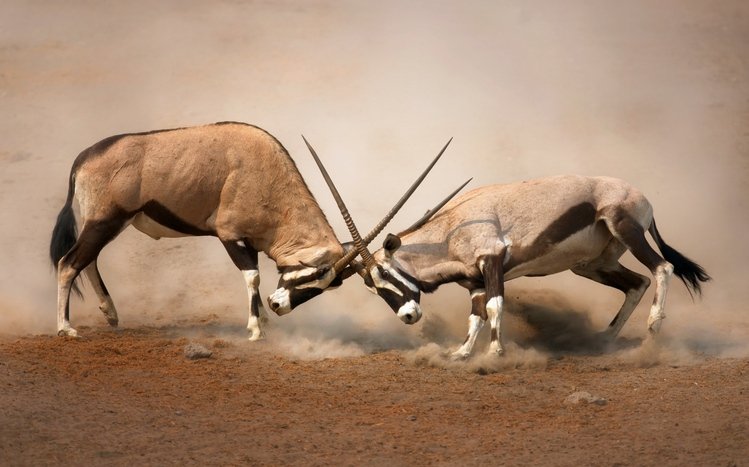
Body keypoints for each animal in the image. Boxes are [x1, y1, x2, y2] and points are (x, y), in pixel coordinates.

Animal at [50, 122, 447, 339]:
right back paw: (66, 328)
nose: (279, 305)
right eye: (314, 273)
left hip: (110, 224)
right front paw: (257, 328)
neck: (265, 174)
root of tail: (83, 159)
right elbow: (252, 276)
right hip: (105, 221)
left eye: (326, 286)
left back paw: (110, 313)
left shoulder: (252, 241)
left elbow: (254, 276)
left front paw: (263, 321)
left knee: (88, 261)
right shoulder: (230, 236)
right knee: (69, 264)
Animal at [309, 165, 711, 358]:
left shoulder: (492, 263)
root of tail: (640, 196)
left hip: (625, 228)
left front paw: (495, 353)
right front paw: (461, 353)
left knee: (661, 268)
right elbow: (476, 315)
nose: (408, 316)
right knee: (636, 283)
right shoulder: (473, 282)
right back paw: (604, 340)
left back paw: (653, 329)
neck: (451, 230)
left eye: (384, 274)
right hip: (592, 264)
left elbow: (496, 306)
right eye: (371, 286)